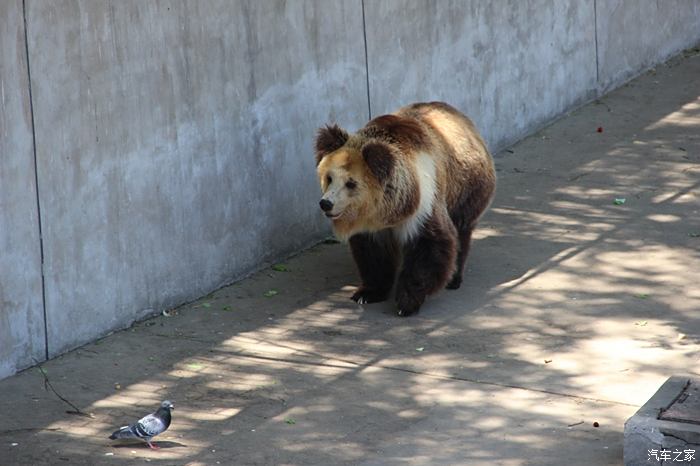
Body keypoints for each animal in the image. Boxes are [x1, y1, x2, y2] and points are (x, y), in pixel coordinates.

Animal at [314, 102, 494, 316]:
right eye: (329, 178)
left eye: (351, 183)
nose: (326, 203)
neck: (390, 211)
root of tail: (459, 114)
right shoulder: (370, 225)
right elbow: (373, 255)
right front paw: (367, 293)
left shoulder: (423, 204)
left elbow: (430, 246)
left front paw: (406, 302)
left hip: (465, 188)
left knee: (461, 231)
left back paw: (454, 279)